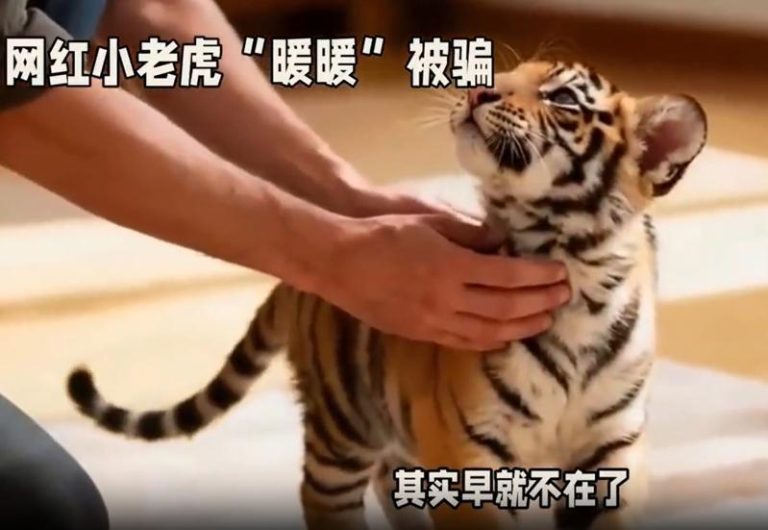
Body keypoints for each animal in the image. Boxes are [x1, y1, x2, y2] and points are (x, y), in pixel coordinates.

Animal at [66, 59, 707, 530]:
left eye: (563, 99)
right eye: (509, 71)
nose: (480, 90)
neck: (573, 267)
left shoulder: (610, 451)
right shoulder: (469, 450)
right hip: (343, 422)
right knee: (324, 495)